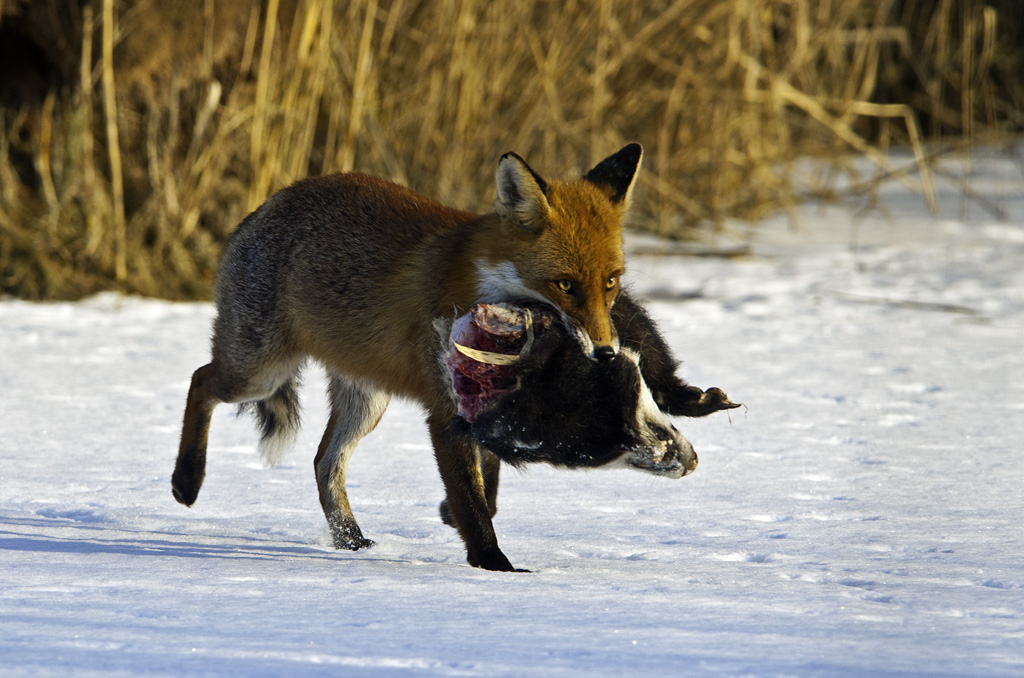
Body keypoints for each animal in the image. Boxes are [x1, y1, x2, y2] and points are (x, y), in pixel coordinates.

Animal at [172, 144, 643, 572]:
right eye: (565, 285)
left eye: (610, 282)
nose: (605, 353)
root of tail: (271, 202)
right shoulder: (445, 411)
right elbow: (473, 503)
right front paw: (494, 567)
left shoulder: (488, 401)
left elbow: (486, 486)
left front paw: (455, 518)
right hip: (260, 371)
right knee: (199, 379)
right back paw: (187, 480)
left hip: (366, 402)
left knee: (324, 463)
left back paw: (352, 542)